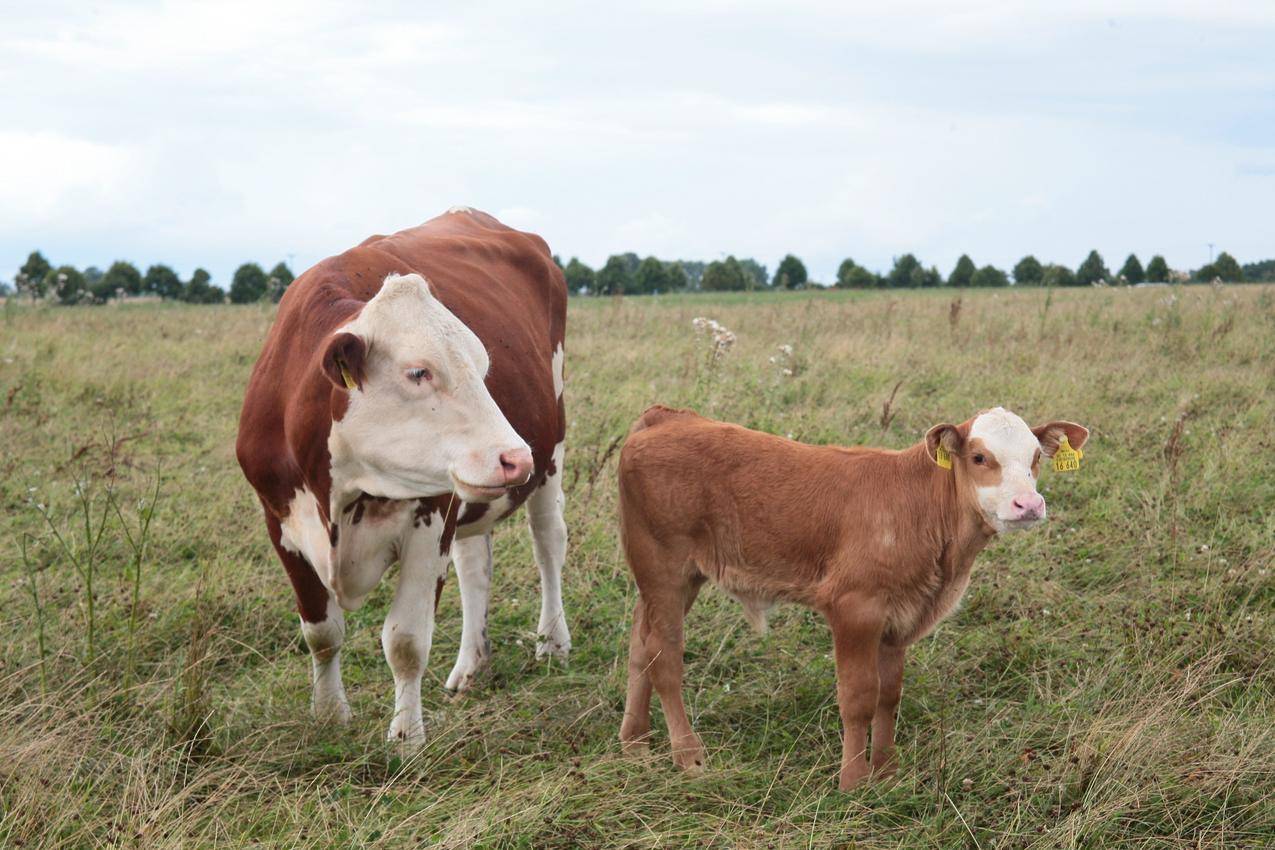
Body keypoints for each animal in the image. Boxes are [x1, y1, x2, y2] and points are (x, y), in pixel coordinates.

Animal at [235, 206, 573, 744]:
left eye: (483, 366)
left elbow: (406, 641)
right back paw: (470, 665)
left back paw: (552, 642)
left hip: (552, 448)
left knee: (548, 543)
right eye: (419, 372)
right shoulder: (281, 521)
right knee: (474, 566)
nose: (515, 457)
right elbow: (321, 632)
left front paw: (407, 739)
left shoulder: (430, 517)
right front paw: (330, 716)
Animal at [617, 405, 1086, 790]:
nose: (1028, 505)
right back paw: (688, 755)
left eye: (1036, 458)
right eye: (979, 458)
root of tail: (666, 418)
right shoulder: (855, 608)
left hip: (675, 577)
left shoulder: (901, 616)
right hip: (663, 566)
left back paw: (635, 742)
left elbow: (888, 695)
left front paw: (887, 770)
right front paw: (854, 780)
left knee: (640, 644)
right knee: (664, 656)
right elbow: (859, 697)